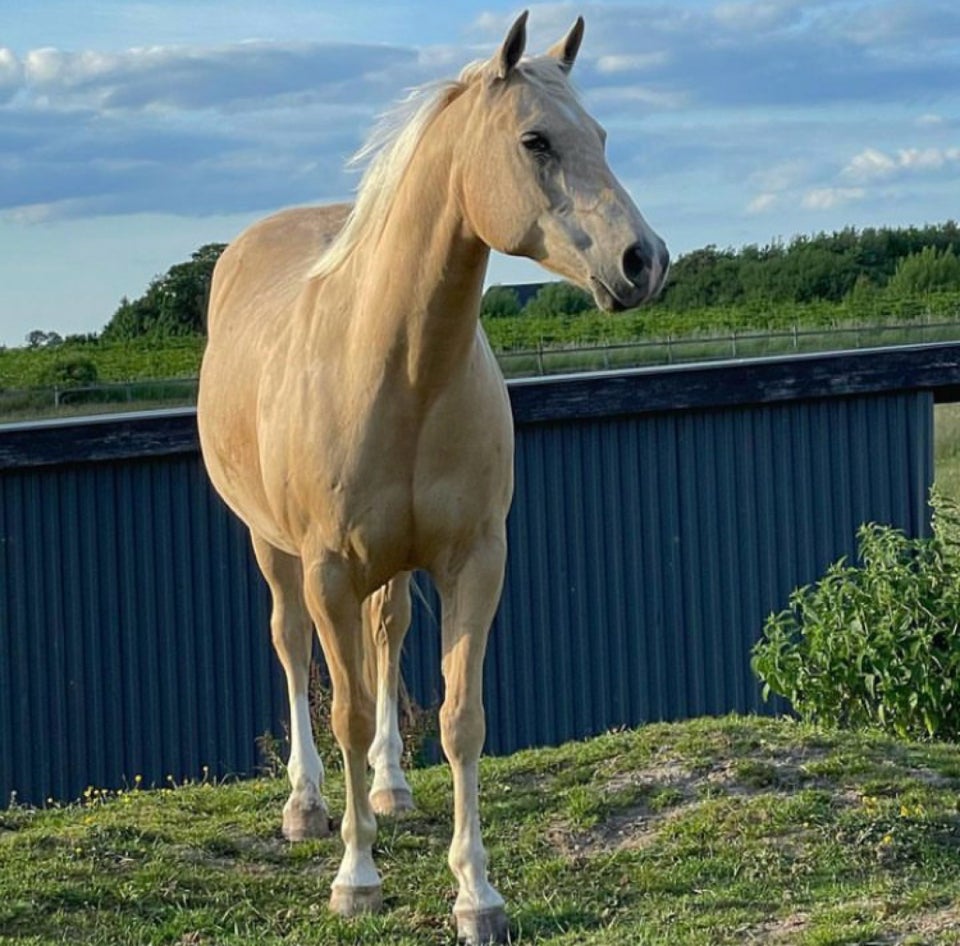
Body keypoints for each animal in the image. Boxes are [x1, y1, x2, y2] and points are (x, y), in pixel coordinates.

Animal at [198, 11, 668, 940]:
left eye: (599, 136)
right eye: (535, 140)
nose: (644, 260)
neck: (395, 367)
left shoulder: (473, 563)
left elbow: (460, 719)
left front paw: (476, 894)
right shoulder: (329, 571)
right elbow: (342, 709)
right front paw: (356, 876)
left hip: (391, 566)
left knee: (388, 640)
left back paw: (390, 787)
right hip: (274, 549)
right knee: (291, 645)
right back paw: (308, 806)